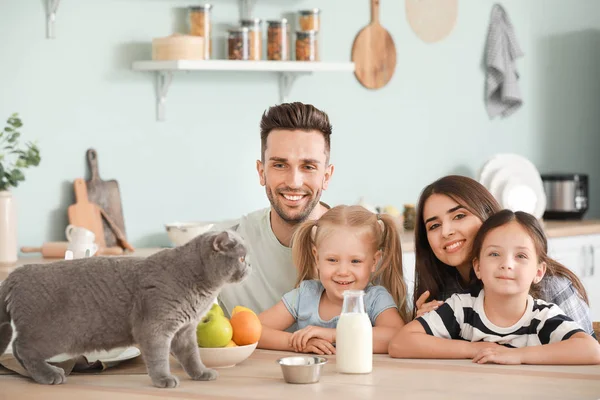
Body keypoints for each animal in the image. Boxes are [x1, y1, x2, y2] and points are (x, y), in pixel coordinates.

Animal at [0, 230, 251, 390]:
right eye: (241, 258)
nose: (250, 266)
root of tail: (17, 274)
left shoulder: (185, 331)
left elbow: (191, 356)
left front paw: (201, 373)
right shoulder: (155, 328)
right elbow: (159, 357)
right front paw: (163, 379)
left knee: (18, 350)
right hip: (54, 335)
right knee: (22, 348)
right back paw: (49, 375)